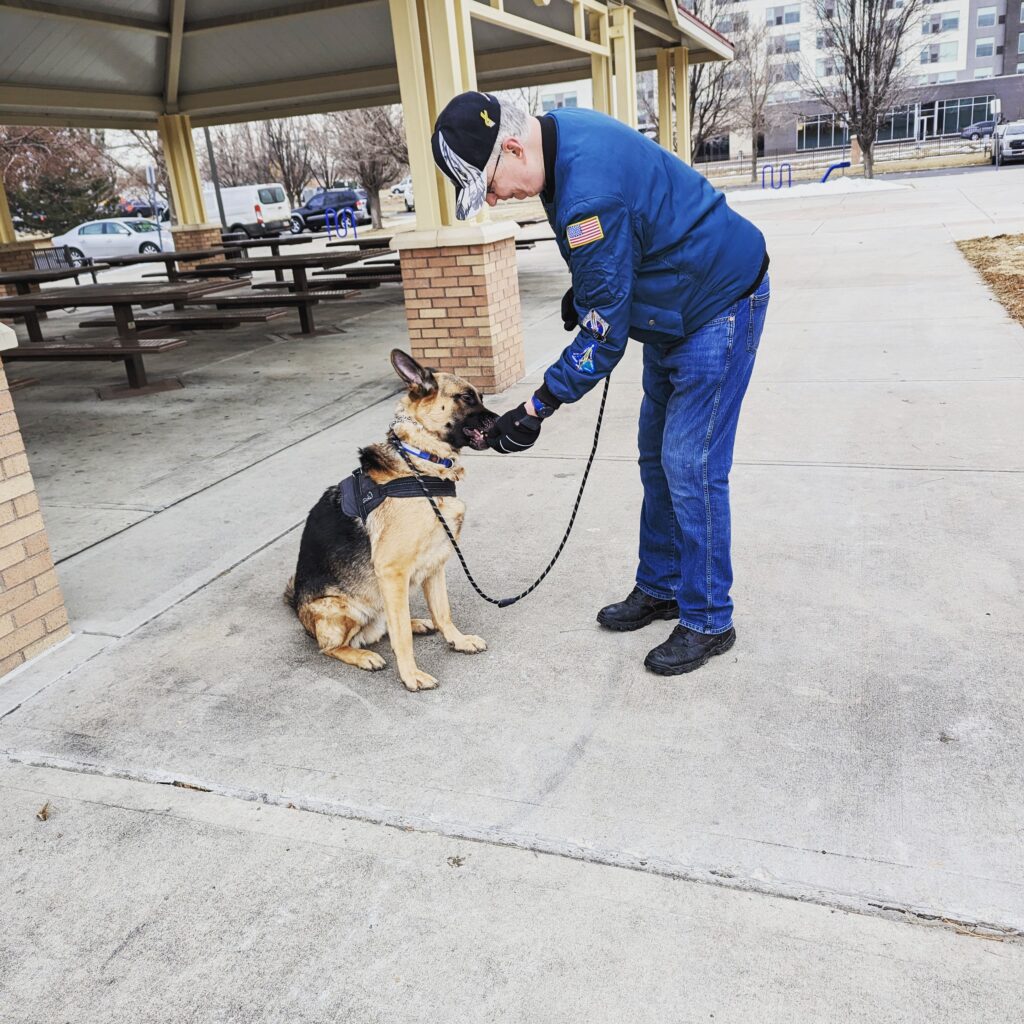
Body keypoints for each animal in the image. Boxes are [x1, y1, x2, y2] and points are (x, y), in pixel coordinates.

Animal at [286, 348, 497, 692]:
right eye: (466, 398)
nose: (500, 421)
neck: (419, 462)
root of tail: (297, 609)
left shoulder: (435, 563)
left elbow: (443, 612)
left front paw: (458, 640)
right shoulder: (392, 570)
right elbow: (402, 638)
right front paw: (411, 676)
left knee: (388, 624)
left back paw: (417, 622)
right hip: (340, 607)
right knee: (333, 646)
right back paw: (363, 655)